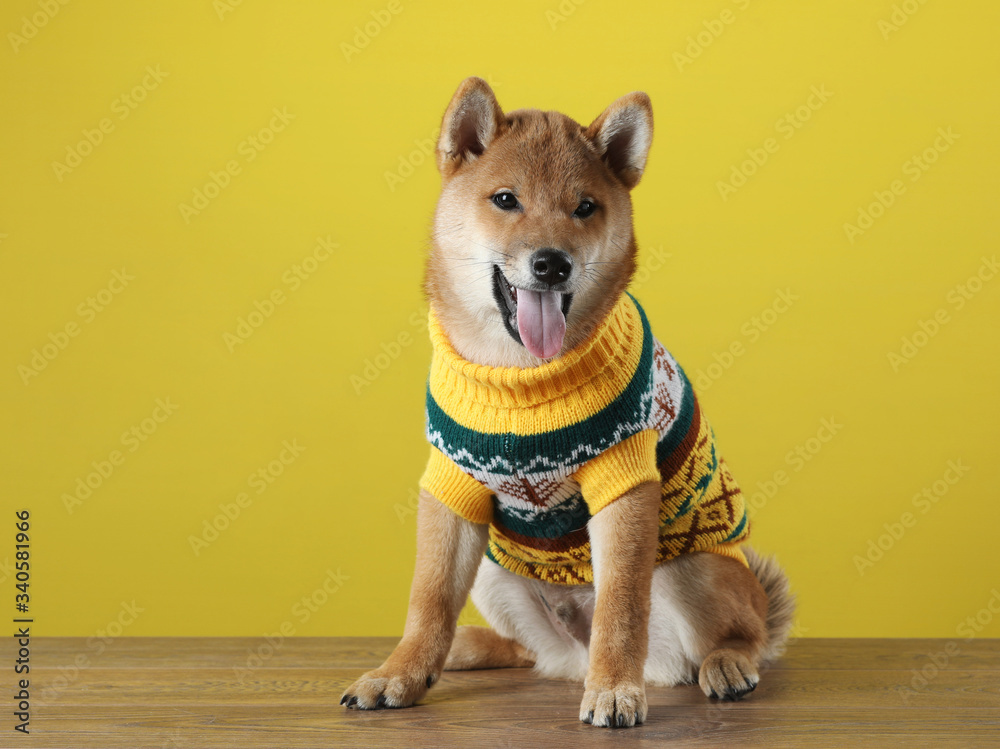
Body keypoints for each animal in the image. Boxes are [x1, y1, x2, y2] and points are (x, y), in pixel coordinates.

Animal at [344, 79, 796, 728]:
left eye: (585, 207)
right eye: (505, 200)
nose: (552, 263)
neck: (519, 379)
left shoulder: (624, 485)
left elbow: (620, 610)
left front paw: (614, 689)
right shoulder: (452, 487)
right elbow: (427, 600)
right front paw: (400, 672)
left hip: (692, 563)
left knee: (740, 633)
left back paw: (724, 664)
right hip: (493, 565)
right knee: (527, 652)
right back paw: (466, 648)